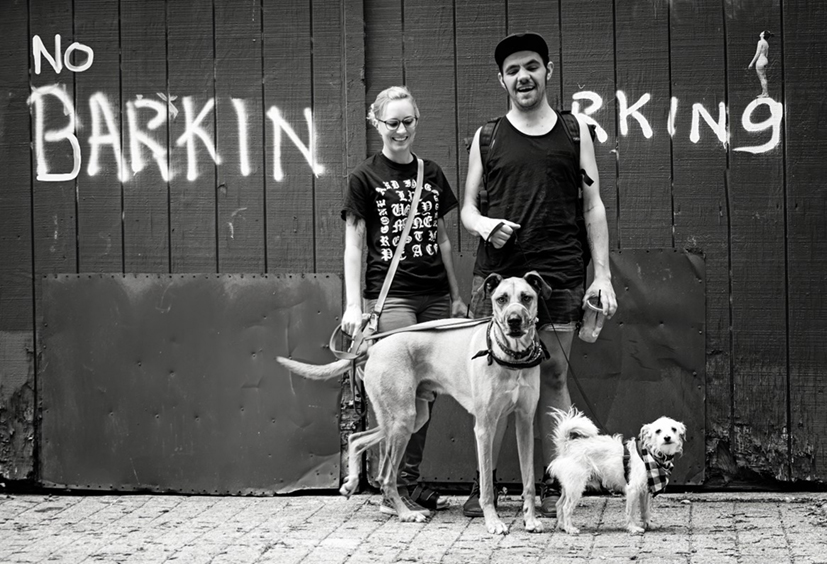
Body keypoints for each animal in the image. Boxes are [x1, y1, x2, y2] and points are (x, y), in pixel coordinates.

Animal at [276, 272, 551, 535]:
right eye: (501, 299)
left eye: (526, 297)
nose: (514, 320)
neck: (512, 357)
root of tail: (373, 347)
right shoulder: (484, 428)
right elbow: (485, 486)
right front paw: (493, 522)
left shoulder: (524, 424)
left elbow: (528, 481)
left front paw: (530, 520)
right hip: (402, 420)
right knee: (386, 477)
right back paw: (406, 514)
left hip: (410, 419)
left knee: (356, 439)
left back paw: (353, 483)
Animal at [548, 407, 686, 534]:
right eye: (658, 431)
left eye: (674, 429)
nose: (667, 437)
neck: (652, 454)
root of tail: (567, 447)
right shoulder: (633, 489)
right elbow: (631, 511)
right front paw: (633, 528)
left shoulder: (645, 490)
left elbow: (645, 510)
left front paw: (648, 524)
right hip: (576, 487)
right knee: (566, 507)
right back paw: (570, 529)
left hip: (569, 487)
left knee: (559, 505)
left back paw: (562, 526)